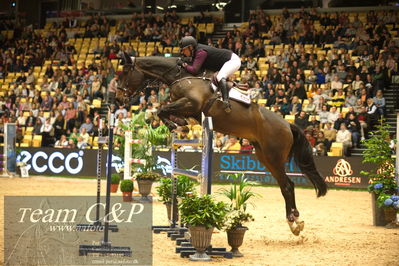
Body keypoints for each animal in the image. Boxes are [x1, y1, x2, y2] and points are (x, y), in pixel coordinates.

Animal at [116, 54, 328, 235]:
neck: (181, 77)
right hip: (264, 156)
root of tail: (287, 124)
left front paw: (174, 124)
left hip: (274, 156)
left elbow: (162, 109)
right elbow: (164, 110)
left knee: (287, 185)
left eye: (125, 72)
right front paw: (178, 123)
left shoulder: (192, 104)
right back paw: (294, 221)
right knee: (286, 185)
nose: (119, 98)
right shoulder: (189, 109)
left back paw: (294, 221)